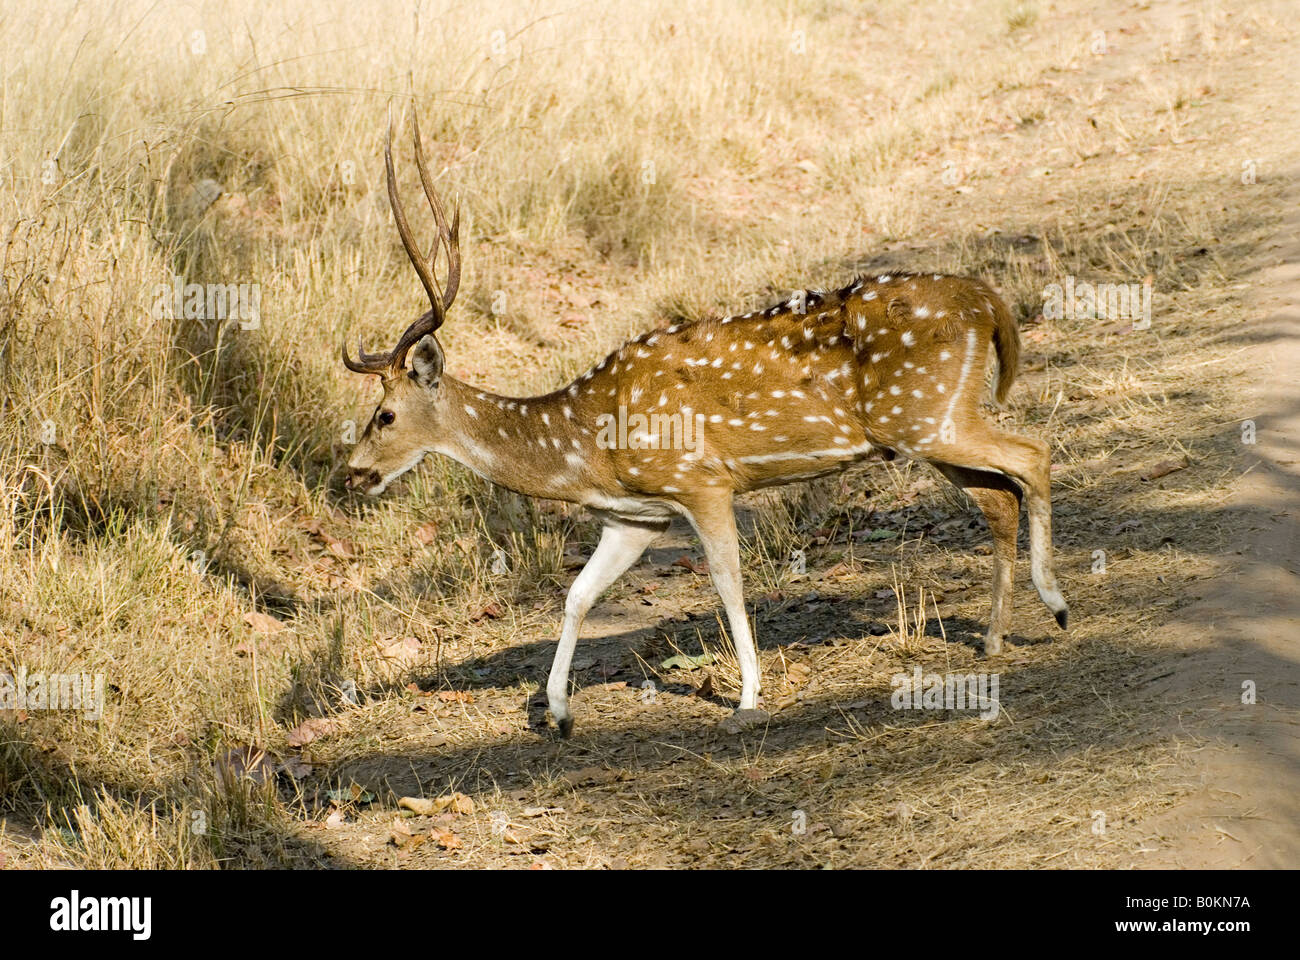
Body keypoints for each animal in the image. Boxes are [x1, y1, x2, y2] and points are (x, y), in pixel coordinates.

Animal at [342, 113, 1069, 737]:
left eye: (384, 414)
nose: (352, 474)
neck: (586, 444)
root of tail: (988, 302)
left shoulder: (702, 482)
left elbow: (728, 584)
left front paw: (747, 698)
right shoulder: (637, 516)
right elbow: (577, 595)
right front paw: (559, 715)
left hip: (927, 413)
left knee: (1032, 454)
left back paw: (1056, 606)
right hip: (925, 422)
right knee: (998, 497)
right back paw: (994, 636)